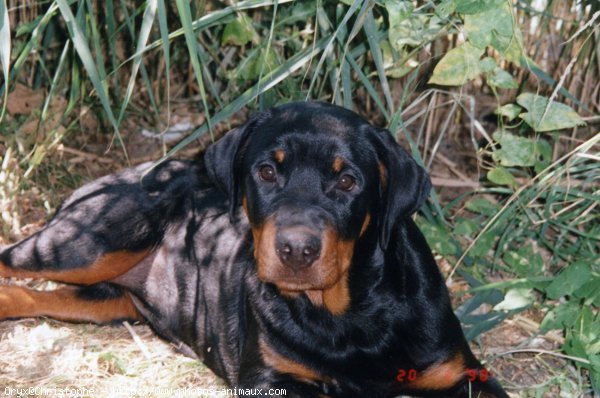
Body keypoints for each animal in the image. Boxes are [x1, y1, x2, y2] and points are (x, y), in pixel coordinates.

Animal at [0, 102, 506, 398]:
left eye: (348, 181)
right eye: (265, 172)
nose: (296, 249)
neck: (348, 315)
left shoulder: (460, 374)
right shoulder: (270, 379)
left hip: (105, 300)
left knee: (37, 295)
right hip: (92, 243)